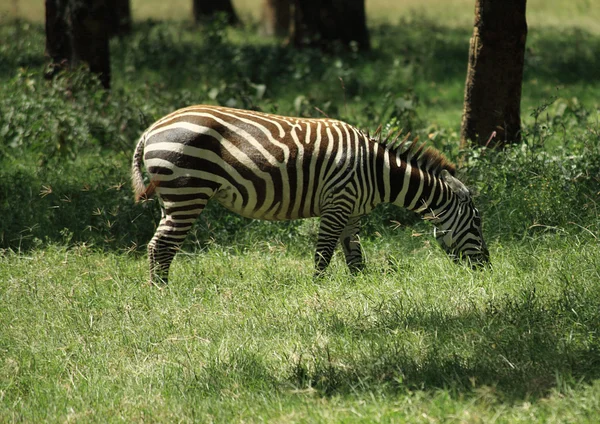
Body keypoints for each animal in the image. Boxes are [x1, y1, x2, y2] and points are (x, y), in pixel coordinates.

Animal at [130, 105, 488, 284]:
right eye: (477, 223)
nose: (487, 267)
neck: (378, 172)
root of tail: (151, 129)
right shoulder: (337, 204)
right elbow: (323, 255)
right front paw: (317, 290)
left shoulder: (351, 212)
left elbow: (354, 256)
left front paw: (361, 290)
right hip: (188, 193)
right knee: (162, 246)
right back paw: (162, 294)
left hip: (172, 199)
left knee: (156, 245)